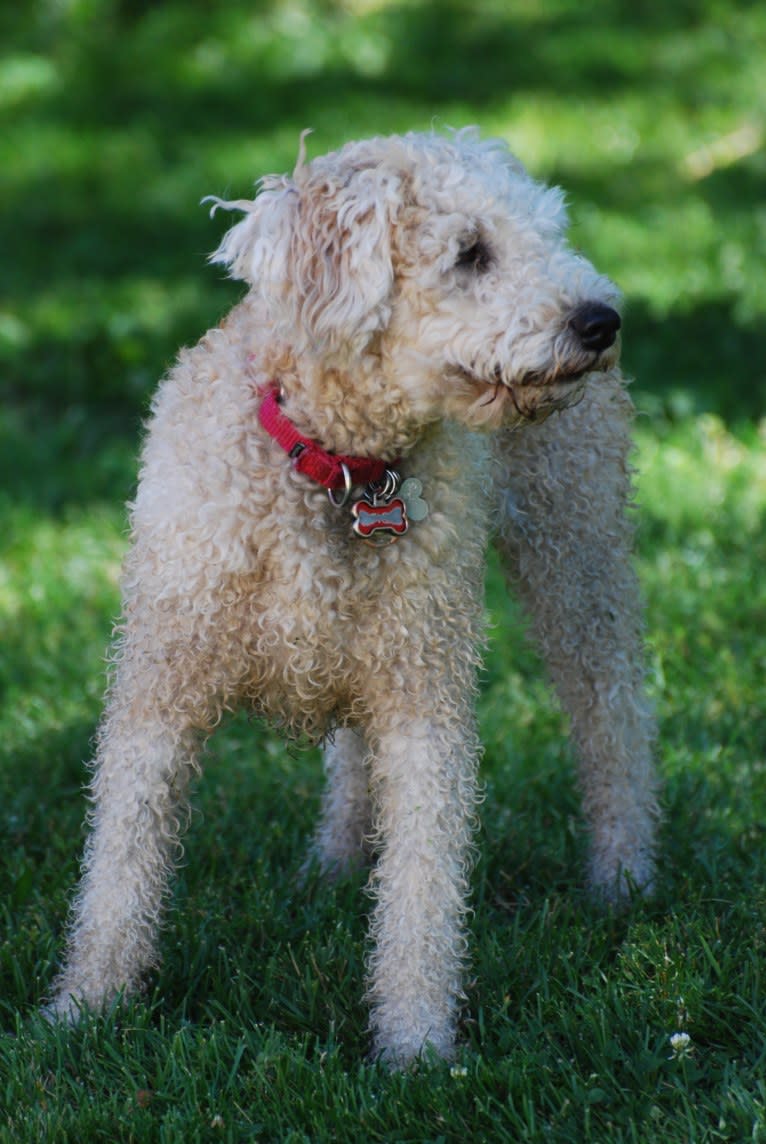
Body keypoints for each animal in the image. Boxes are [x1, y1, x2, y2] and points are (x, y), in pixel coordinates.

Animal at [48, 129, 658, 1066]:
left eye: (549, 230)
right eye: (470, 252)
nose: (602, 322)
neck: (336, 465)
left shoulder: (423, 691)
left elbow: (424, 886)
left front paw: (415, 1048)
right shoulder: (160, 681)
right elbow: (120, 861)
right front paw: (86, 1007)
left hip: (575, 548)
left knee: (610, 712)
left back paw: (624, 876)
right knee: (352, 755)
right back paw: (332, 866)